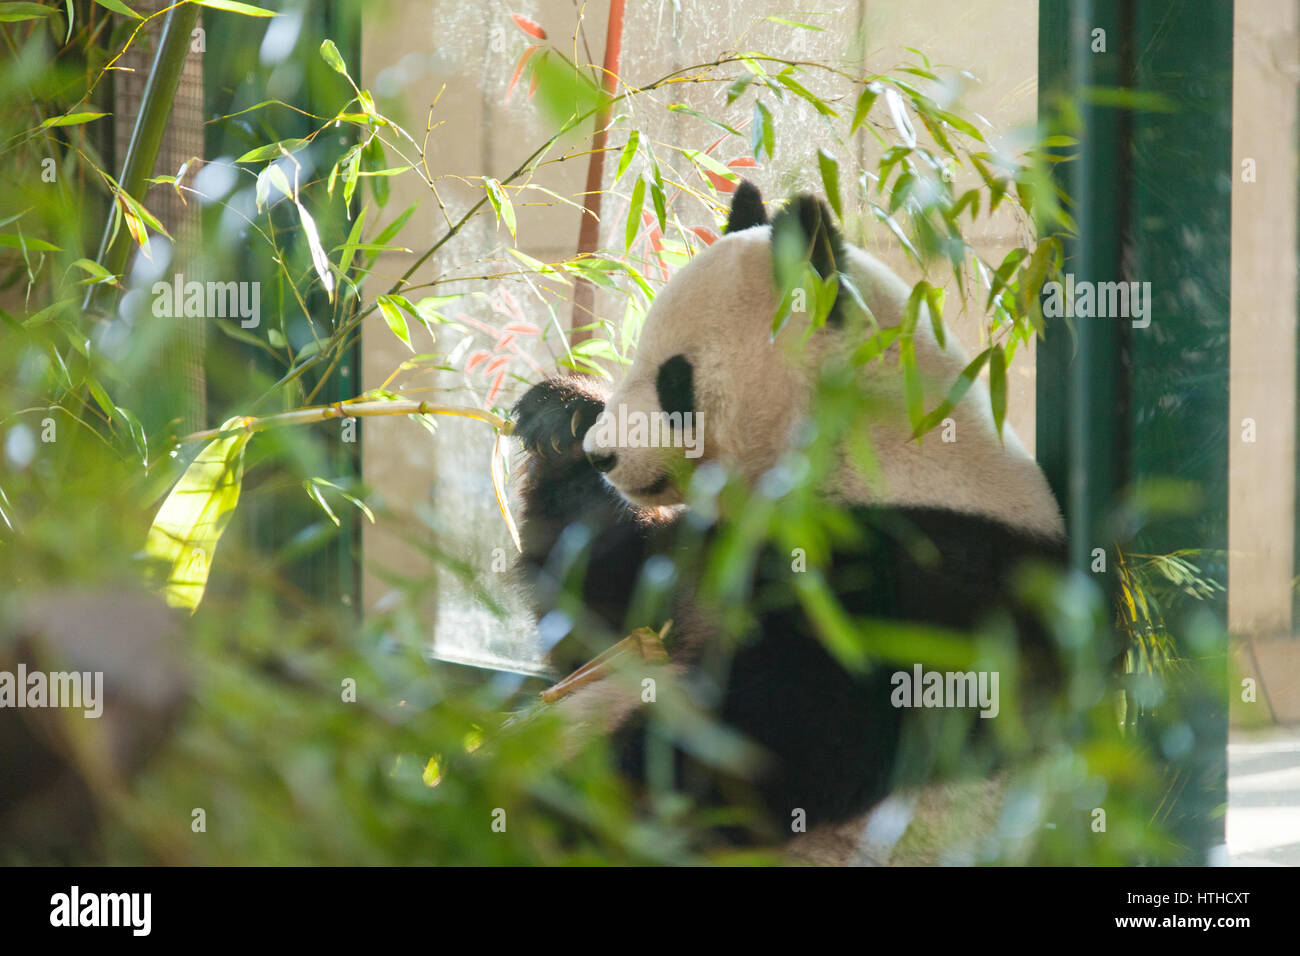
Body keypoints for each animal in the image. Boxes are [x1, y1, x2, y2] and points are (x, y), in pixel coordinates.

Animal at [509, 181, 1066, 863]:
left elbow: (779, 738)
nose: (604, 456)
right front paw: (559, 418)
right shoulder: (722, 540)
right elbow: (608, 617)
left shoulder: (913, 573)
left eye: (675, 379)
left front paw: (573, 793)